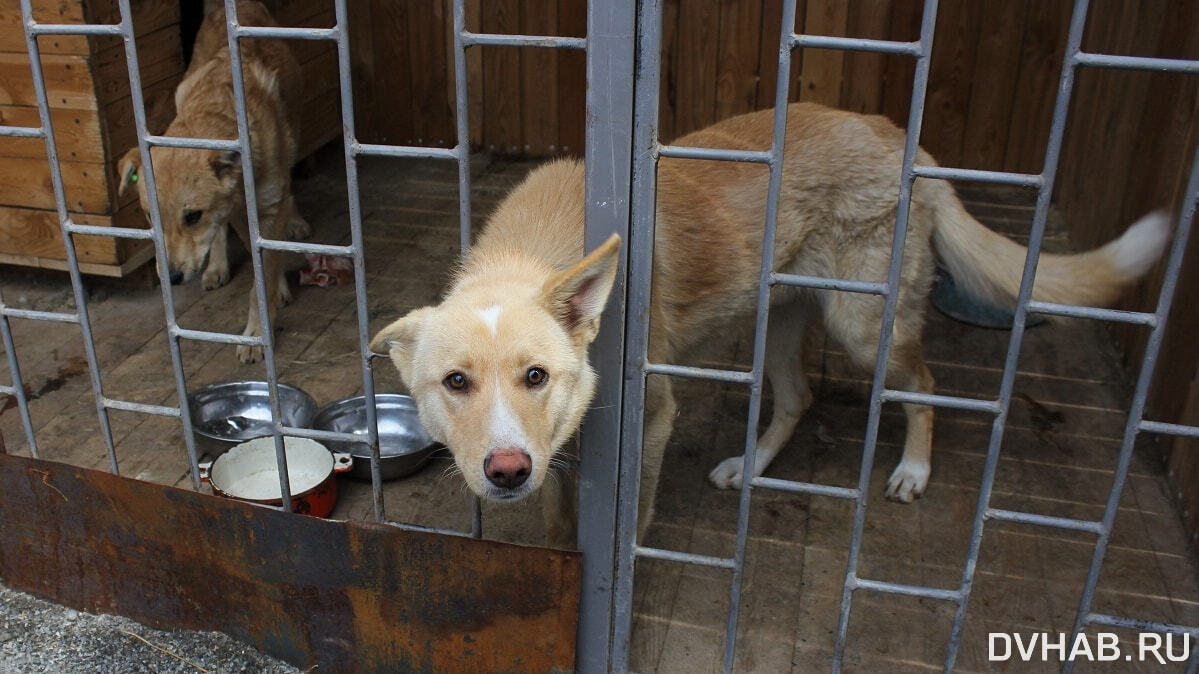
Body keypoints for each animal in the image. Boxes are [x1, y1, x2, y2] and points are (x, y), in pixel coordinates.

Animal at [117, 1, 306, 362]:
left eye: (192, 216)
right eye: (149, 216)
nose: (173, 278)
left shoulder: (270, 207)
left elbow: (265, 271)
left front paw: (258, 330)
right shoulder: (241, 215)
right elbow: (258, 264)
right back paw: (217, 266)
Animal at [369, 102, 1165, 542]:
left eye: (535, 376)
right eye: (455, 383)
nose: (505, 471)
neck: (533, 246)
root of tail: (900, 138)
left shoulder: (650, 418)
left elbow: (629, 525)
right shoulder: (560, 453)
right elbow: (558, 521)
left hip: (863, 328)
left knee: (924, 384)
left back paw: (912, 470)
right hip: (781, 324)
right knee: (798, 397)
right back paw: (751, 465)